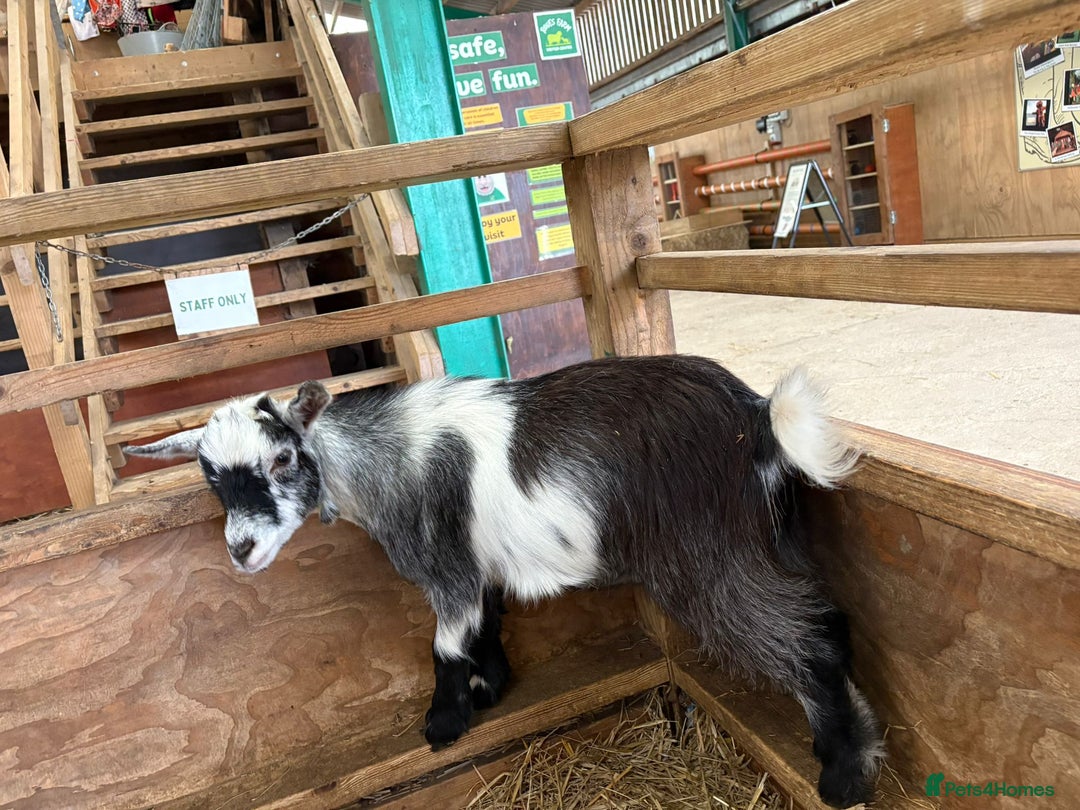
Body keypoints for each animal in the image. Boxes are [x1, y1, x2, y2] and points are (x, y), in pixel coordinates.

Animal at [126, 354, 883, 807]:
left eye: (282, 458)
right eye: (210, 476)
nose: (241, 549)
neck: (385, 461)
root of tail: (759, 417)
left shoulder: (446, 567)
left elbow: (445, 645)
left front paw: (445, 723)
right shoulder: (475, 567)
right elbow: (483, 625)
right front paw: (492, 687)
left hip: (707, 555)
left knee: (803, 643)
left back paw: (845, 772)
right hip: (764, 537)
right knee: (826, 617)